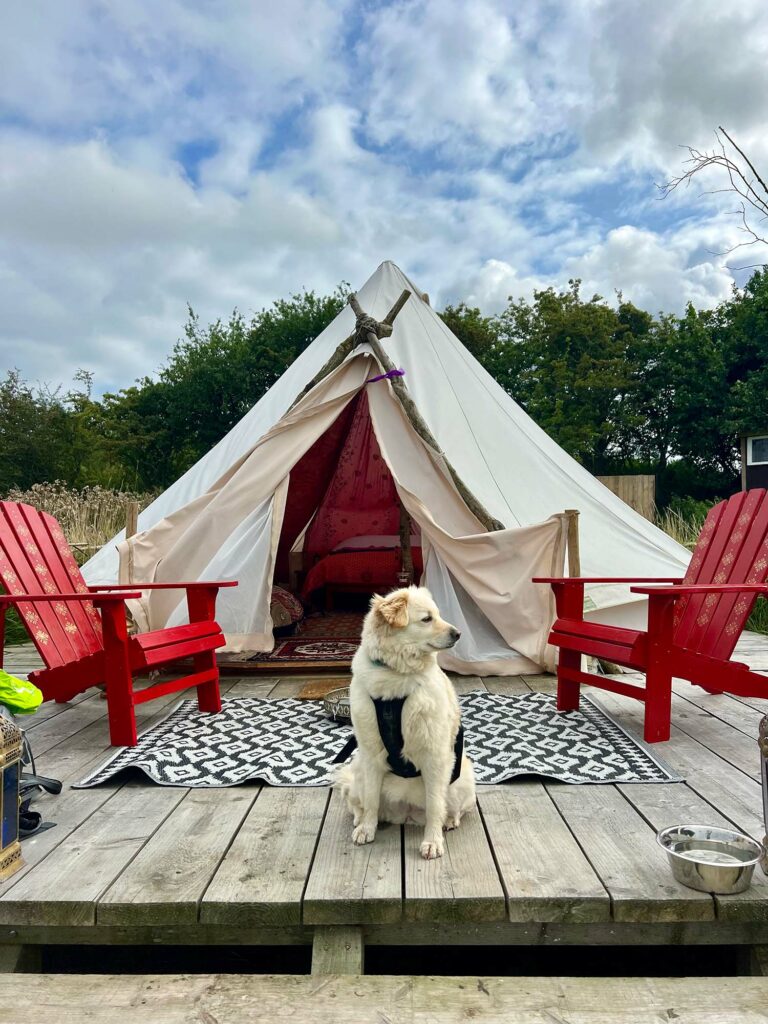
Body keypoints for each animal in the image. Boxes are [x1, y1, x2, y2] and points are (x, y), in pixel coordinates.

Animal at [335, 585, 475, 856]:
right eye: (427, 619)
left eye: (438, 615)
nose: (458, 634)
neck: (396, 675)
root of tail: (406, 812)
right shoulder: (370, 753)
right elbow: (370, 800)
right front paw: (366, 829)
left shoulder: (435, 756)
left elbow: (435, 805)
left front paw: (432, 842)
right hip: (357, 770)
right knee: (355, 801)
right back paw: (360, 820)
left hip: (462, 780)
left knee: (453, 809)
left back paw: (448, 821)